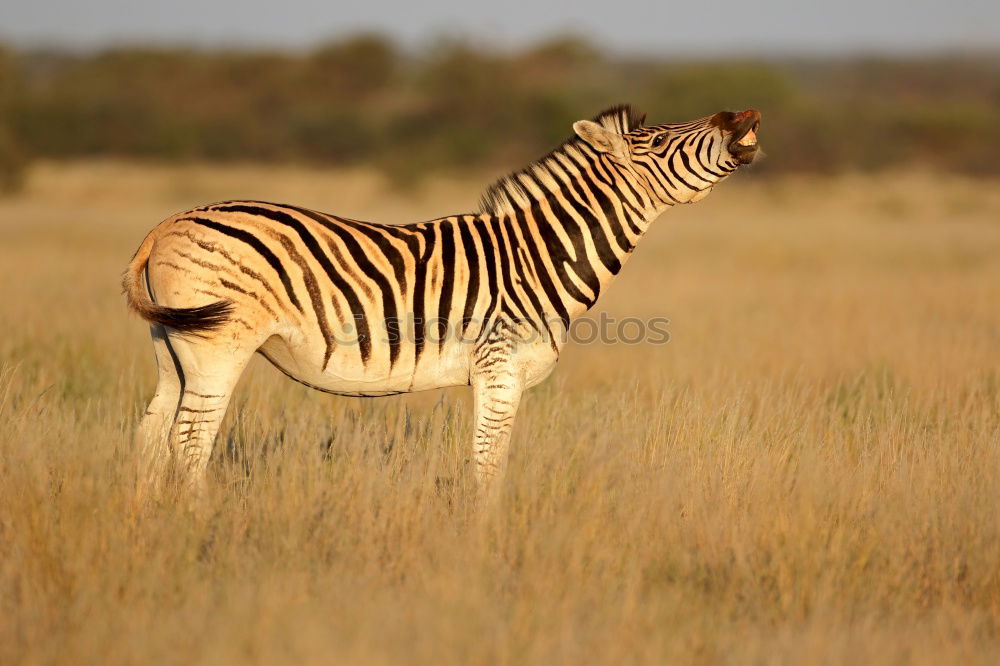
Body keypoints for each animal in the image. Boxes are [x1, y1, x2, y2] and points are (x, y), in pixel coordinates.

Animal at [123, 105, 756, 492]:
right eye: (661, 141)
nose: (743, 116)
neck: (538, 256)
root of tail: (167, 222)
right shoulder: (499, 369)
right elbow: (488, 467)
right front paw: (484, 550)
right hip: (217, 345)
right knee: (189, 443)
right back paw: (202, 531)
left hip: (172, 346)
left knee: (151, 439)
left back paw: (149, 529)